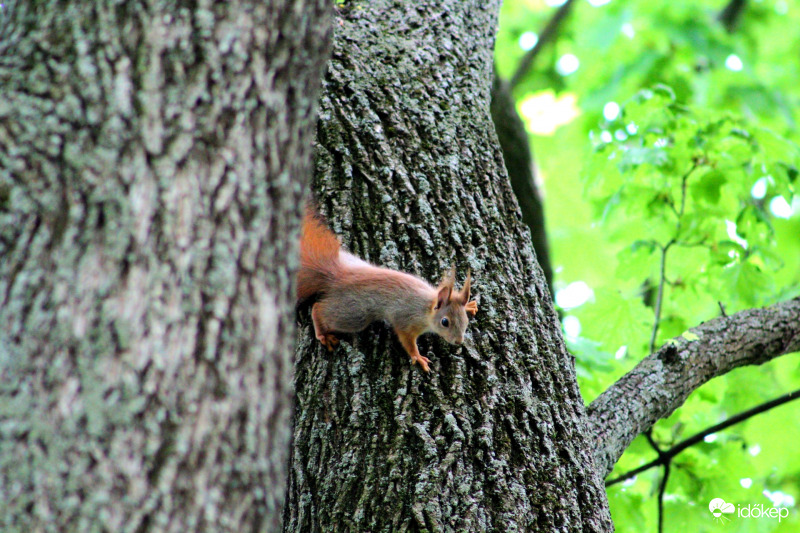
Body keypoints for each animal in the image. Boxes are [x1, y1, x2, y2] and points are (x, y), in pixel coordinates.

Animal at [298, 208, 476, 370]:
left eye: (465, 320)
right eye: (445, 322)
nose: (458, 341)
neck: (426, 305)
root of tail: (338, 275)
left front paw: (469, 305)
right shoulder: (406, 321)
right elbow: (407, 341)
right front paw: (418, 357)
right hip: (353, 314)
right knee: (319, 309)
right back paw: (323, 334)